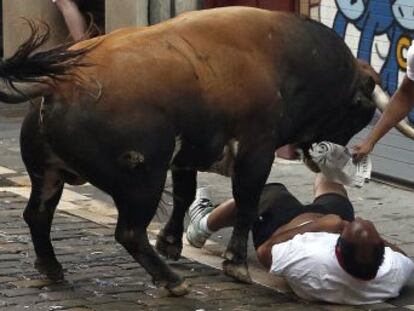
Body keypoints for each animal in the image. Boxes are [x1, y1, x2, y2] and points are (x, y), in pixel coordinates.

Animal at [0, 6, 382, 294]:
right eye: (358, 109)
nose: (339, 155)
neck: (281, 58)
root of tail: (60, 84)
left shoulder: (186, 158)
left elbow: (184, 195)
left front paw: (171, 242)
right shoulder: (256, 151)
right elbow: (247, 204)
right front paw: (235, 264)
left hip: (47, 175)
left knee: (37, 215)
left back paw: (51, 267)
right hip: (142, 181)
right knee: (129, 232)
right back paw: (172, 282)